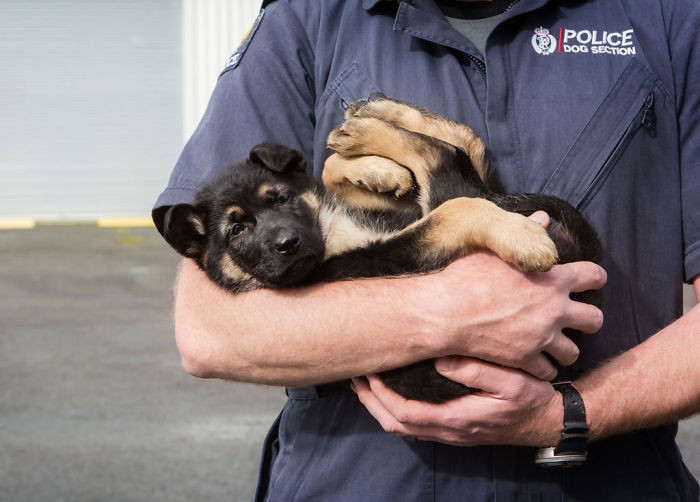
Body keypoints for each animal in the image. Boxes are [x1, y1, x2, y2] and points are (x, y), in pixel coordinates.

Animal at [161, 94, 600, 402]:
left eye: (282, 198)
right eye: (235, 230)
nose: (288, 243)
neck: (332, 232)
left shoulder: (396, 213)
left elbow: (326, 171)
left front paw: (379, 172)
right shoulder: (394, 255)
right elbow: (456, 210)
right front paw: (525, 238)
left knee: (460, 144)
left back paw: (370, 114)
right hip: (451, 193)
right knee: (447, 159)